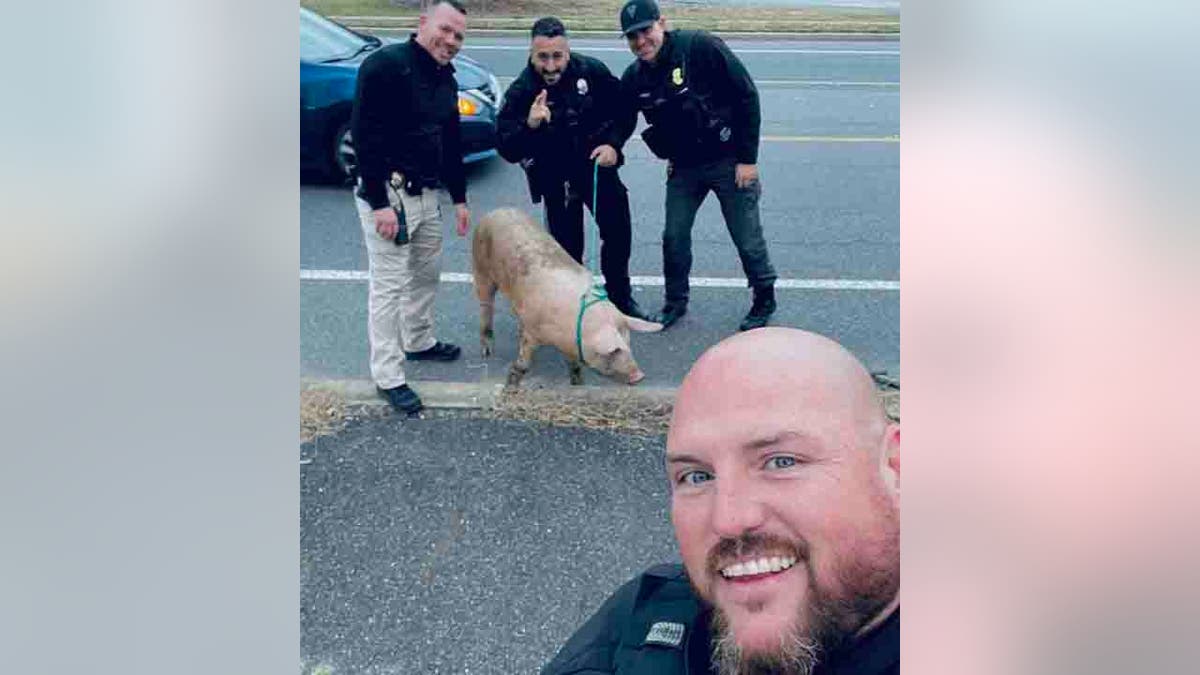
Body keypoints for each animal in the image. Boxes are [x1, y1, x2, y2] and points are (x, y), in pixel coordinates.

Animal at [468, 205, 662, 386]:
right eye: (612, 352)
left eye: (628, 343)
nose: (639, 376)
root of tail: (495, 212)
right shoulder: (534, 332)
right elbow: (524, 359)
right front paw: (514, 375)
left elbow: (573, 364)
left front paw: (578, 383)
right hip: (480, 267)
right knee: (485, 306)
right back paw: (487, 351)